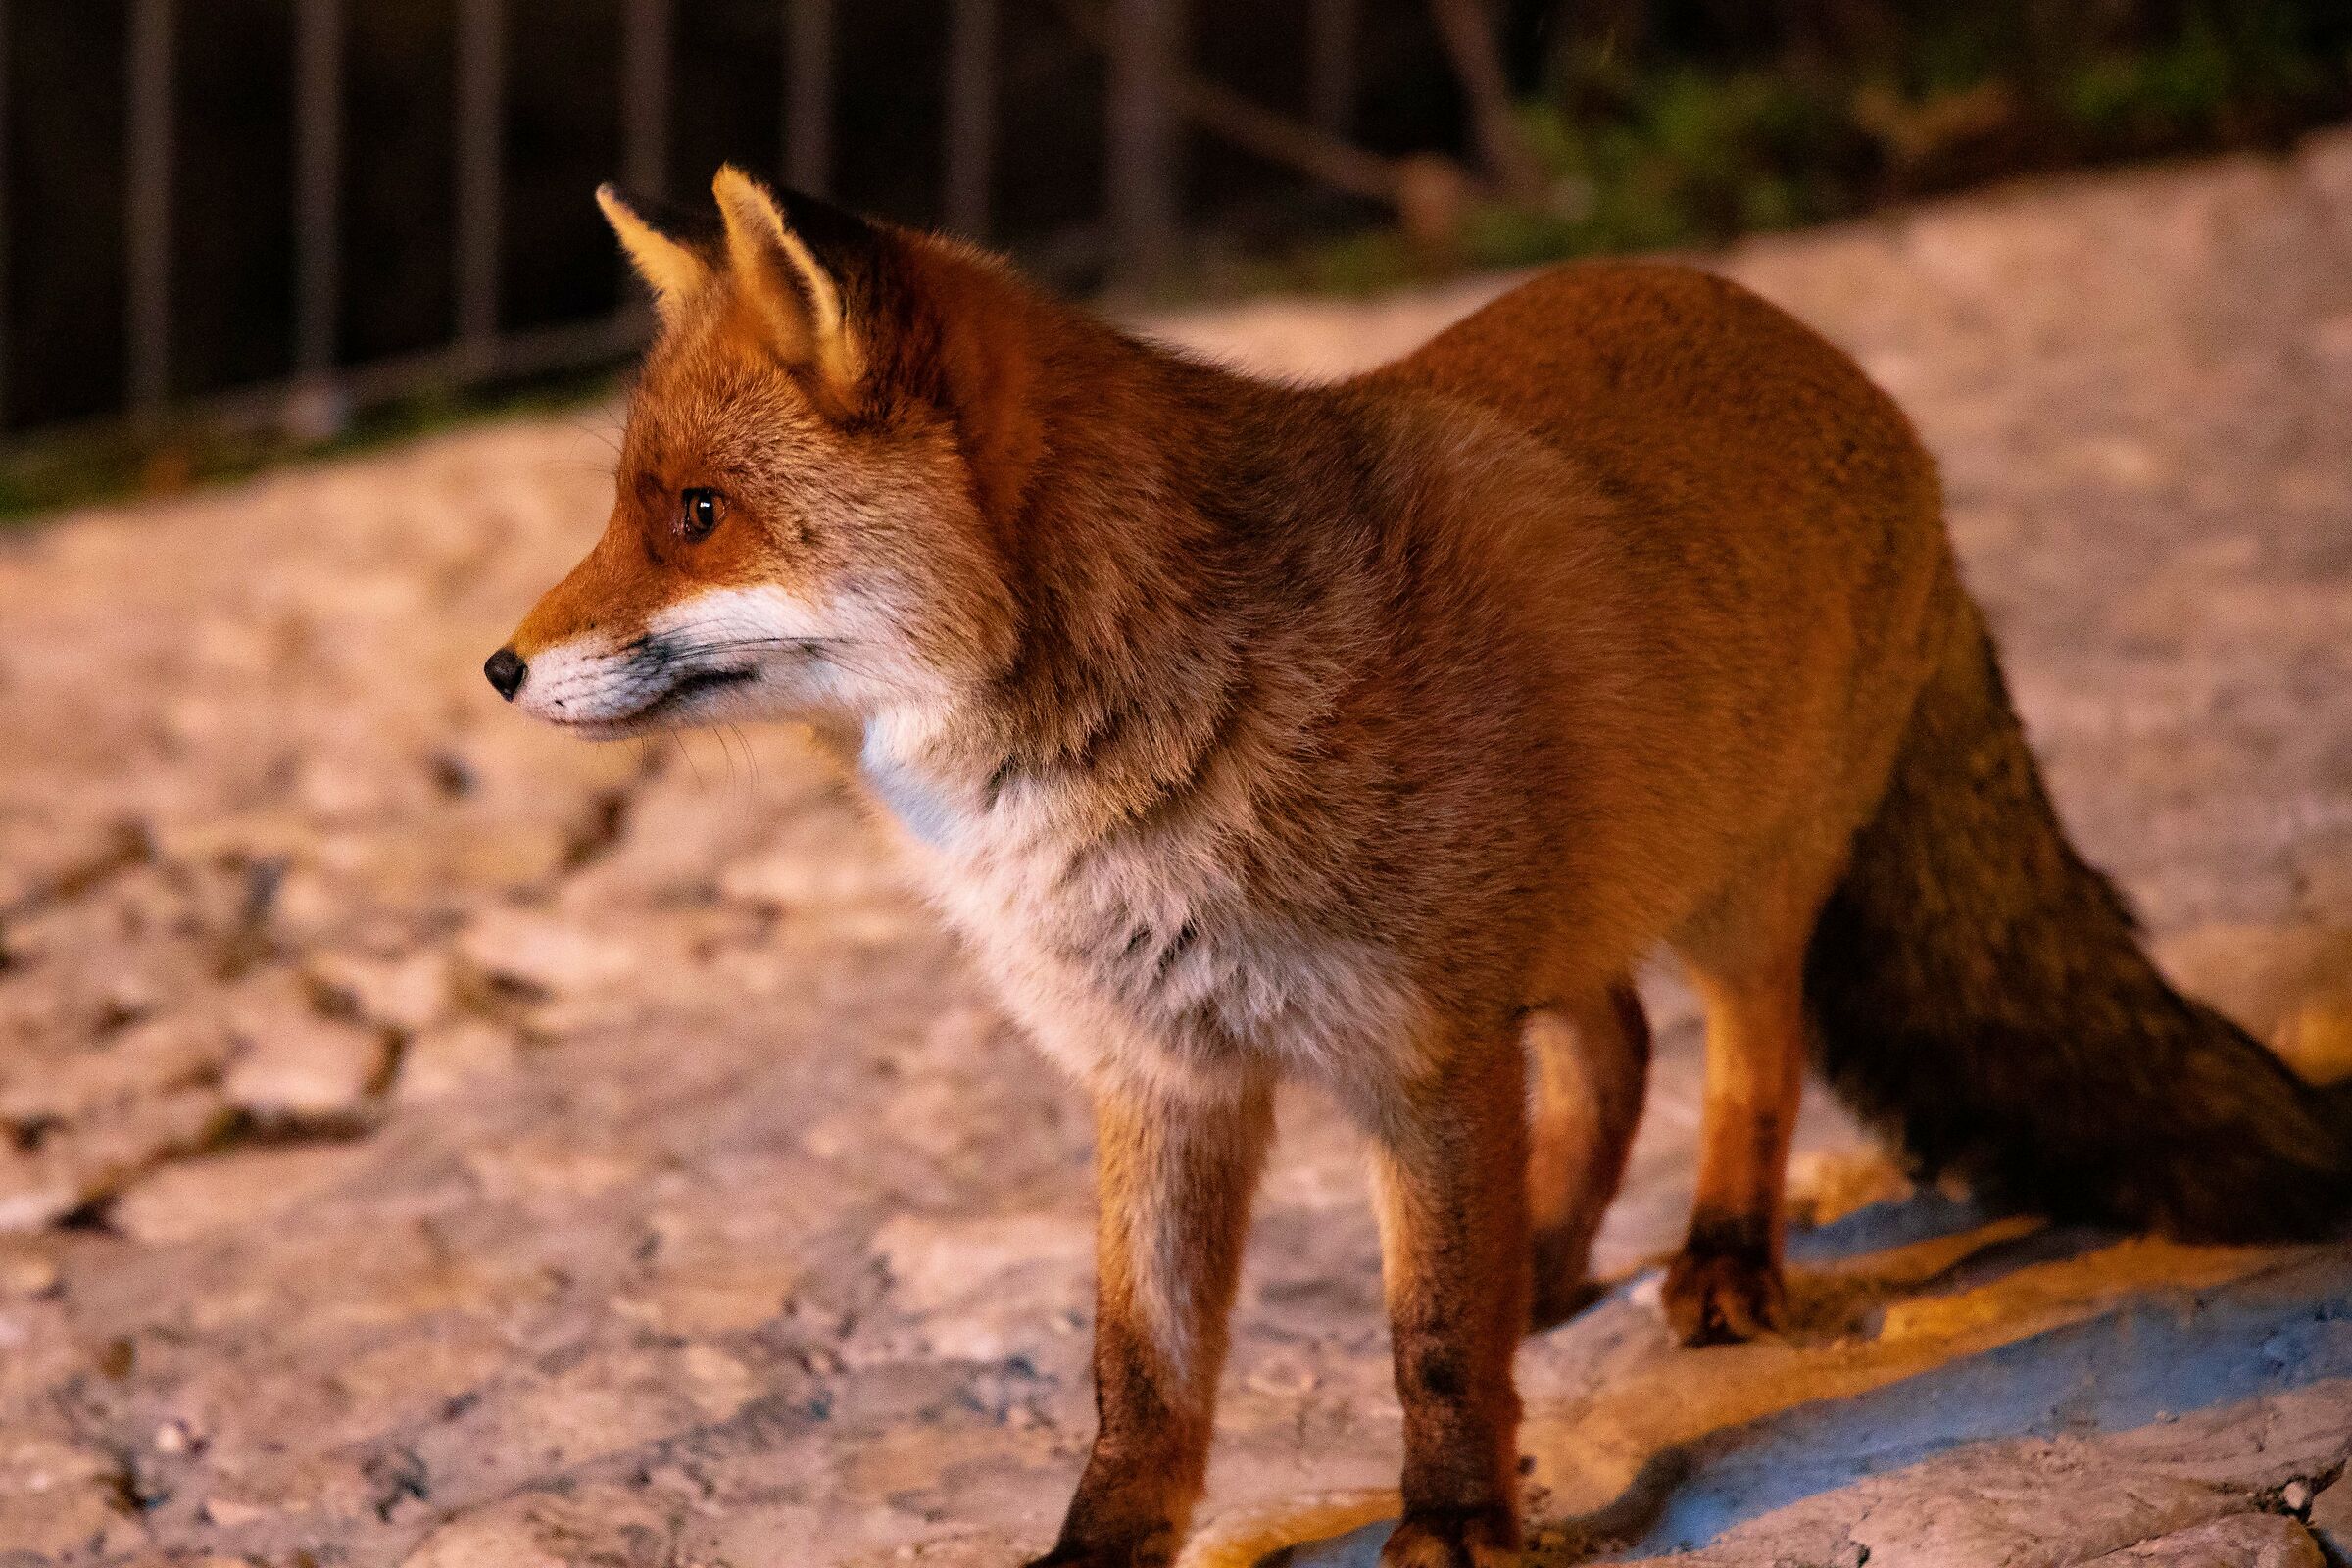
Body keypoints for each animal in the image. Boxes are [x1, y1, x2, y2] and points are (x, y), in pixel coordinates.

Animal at [487, 166, 2352, 1568]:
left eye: (697, 514)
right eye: (630, 506)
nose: (498, 671)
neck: (1108, 794)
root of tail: (1827, 352)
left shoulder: (1416, 1053)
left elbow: (1436, 1338)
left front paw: (1459, 1523)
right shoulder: (1164, 1072)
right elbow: (1141, 1371)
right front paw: (1105, 1544)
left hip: (1737, 895)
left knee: (1745, 1058)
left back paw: (1723, 1262)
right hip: (1572, 921)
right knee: (1615, 1048)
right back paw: (1562, 1261)